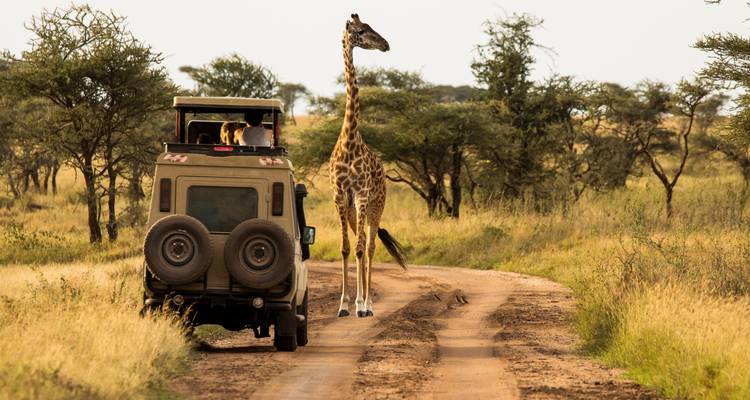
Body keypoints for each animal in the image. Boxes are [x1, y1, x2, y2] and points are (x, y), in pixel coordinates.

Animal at [330, 13, 407, 318]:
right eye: (361, 31)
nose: (386, 44)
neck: (349, 140)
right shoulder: (341, 197)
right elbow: (345, 248)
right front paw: (343, 305)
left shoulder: (362, 196)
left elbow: (362, 248)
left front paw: (361, 305)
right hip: (354, 211)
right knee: (360, 242)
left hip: (376, 206)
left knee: (371, 246)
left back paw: (369, 305)